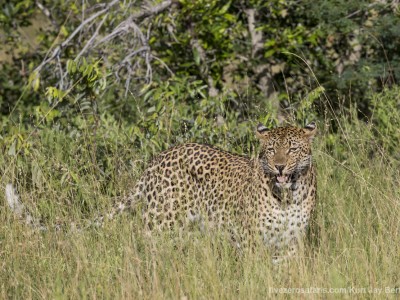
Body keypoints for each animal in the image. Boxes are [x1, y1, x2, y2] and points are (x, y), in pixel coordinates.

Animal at [4, 122, 318, 262]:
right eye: (270, 150)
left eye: (292, 149)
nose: (279, 166)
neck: (288, 194)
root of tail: (157, 159)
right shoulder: (250, 238)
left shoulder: (293, 241)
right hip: (161, 223)